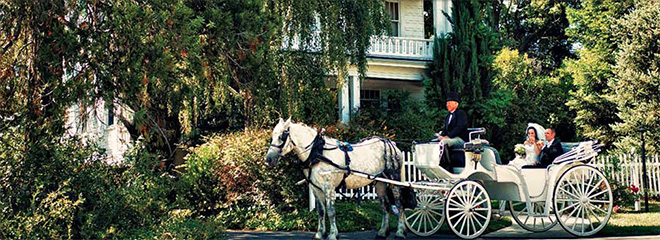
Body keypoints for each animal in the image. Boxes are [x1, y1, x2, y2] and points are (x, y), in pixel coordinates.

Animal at [264, 119, 408, 239]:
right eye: (272, 136)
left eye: (281, 136)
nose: (268, 159)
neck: (318, 152)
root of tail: (392, 144)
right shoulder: (316, 188)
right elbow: (321, 211)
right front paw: (320, 234)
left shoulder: (329, 187)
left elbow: (331, 211)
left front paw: (333, 234)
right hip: (380, 183)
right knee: (386, 206)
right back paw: (382, 232)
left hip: (394, 180)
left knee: (399, 204)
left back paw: (400, 232)